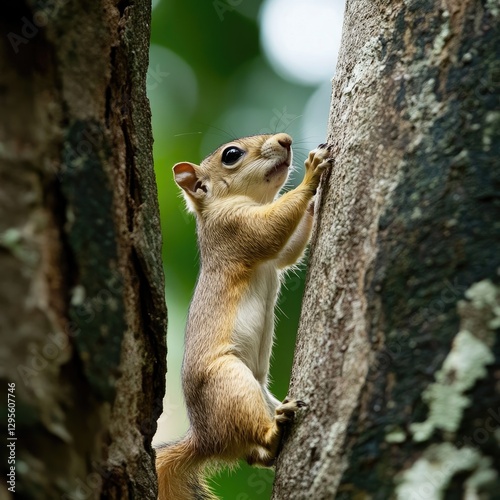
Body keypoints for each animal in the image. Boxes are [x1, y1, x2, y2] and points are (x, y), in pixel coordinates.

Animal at [156, 133, 332, 500]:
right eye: (231, 155)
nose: (286, 139)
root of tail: (204, 440)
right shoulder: (233, 229)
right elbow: (269, 230)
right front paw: (311, 173)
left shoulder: (272, 253)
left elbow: (288, 250)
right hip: (231, 385)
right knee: (251, 435)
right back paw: (274, 430)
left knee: (251, 455)